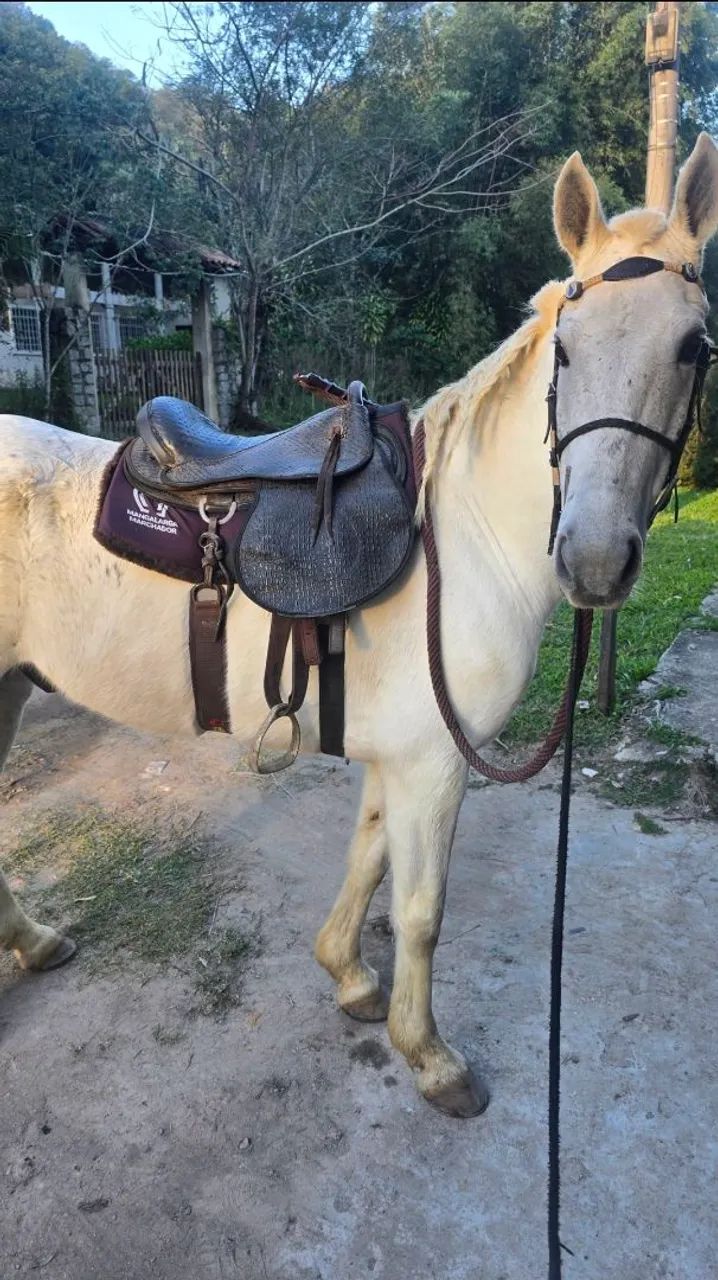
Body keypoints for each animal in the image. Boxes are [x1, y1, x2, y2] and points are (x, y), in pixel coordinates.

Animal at [1, 135, 717, 1118]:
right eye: (565, 351)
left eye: (695, 347)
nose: (597, 560)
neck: (464, 535)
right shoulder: (437, 763)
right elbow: (419, 910)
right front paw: (433, 1058)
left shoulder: (404, 756)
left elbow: (368, 858)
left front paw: (348, 977)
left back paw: (35, 942)